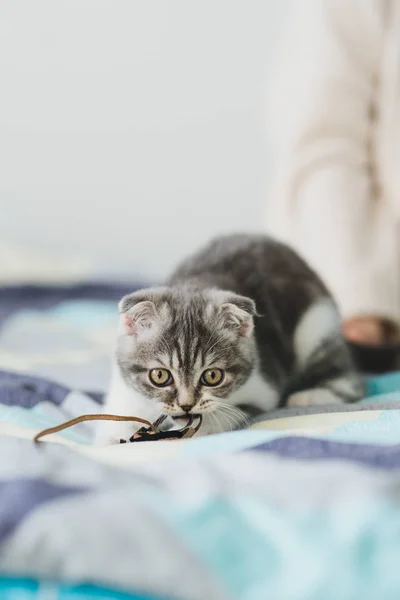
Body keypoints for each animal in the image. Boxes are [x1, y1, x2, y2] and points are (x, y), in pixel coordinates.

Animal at [96, 234, 362, 446]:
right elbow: (121, 409)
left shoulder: (264, 383)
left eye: (212, 376)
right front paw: (113, 434)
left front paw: (201, 425)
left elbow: (228, 412)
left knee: (348, 378)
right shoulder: (124, 384)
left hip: (316, 324)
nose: (186, 405)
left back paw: (311, 396)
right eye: (159, 376)